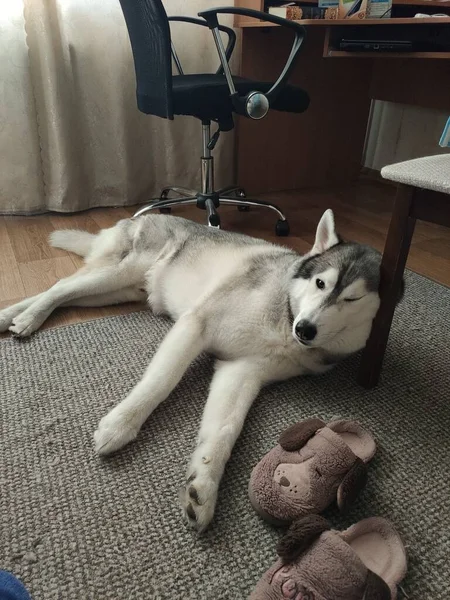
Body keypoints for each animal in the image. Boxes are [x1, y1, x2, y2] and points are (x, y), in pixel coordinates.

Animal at [1, 210, 384, 528]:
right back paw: (29, 317)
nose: (305, 329)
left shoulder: (242, 371)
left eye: (352, 299)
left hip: (119, 290)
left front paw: (204, 485)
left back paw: (12, 315)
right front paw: (120, 425)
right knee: (60, 287)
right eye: (320, 283)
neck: (284, 315)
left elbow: (225, 430)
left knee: (65, 292)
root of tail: (144, 214)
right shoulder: (195, 324)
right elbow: (160, 382)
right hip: (120, 272)